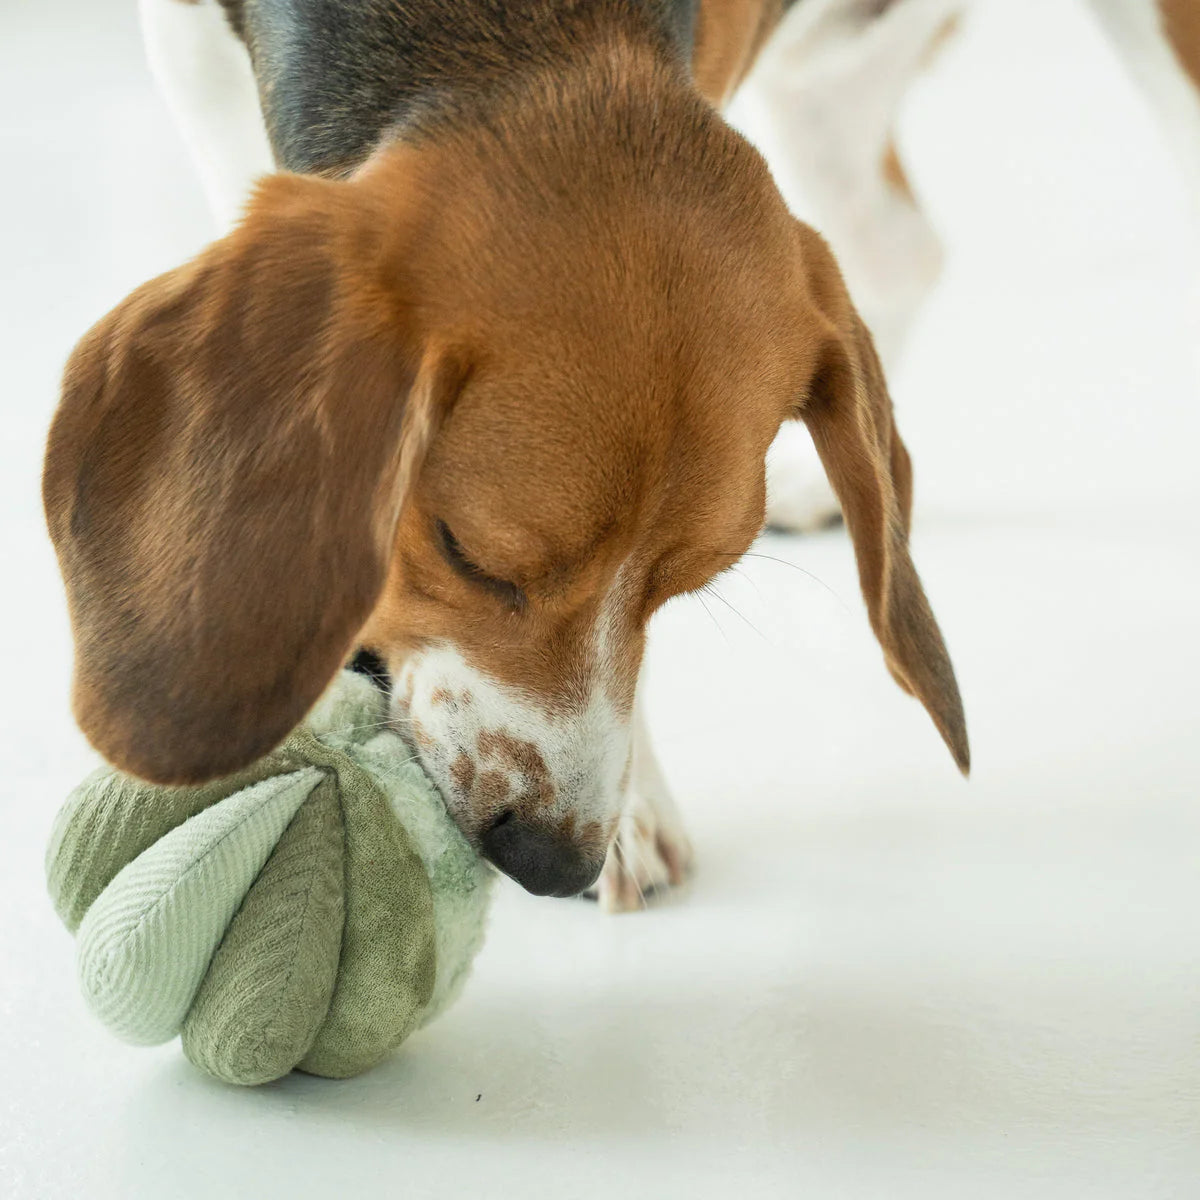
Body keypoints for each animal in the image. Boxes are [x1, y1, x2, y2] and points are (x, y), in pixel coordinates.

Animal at [42, 2, 969, 907]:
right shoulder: (194, 62)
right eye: (466, 554)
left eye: (679, 589)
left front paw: (634, 807)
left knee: (901, 251)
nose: (550, 863)